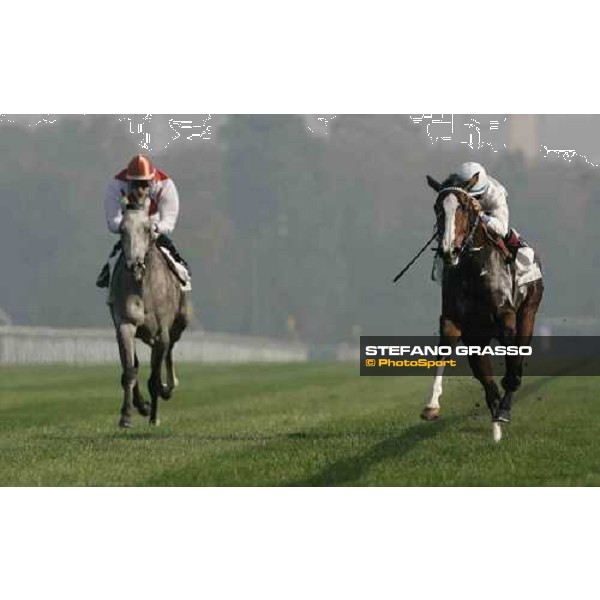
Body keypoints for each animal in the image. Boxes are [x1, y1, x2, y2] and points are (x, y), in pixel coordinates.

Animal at [110, 191, 189, 426]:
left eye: (146, 229)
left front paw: (154, 415)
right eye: (122, 229)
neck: (143, 289)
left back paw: (168, 387)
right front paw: (127, 414)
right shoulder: (125, 325)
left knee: (169, 352)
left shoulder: (161, 332)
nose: (134, 265)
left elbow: (154, 377)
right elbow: (129, 370)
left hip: (179, 324)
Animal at [422, 172, 544, 440]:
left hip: (529, 310)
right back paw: (495, 425)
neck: (472, 269)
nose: (449, 250)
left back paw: (503, 409)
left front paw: (509, 392)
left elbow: (513, 359)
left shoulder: (505, 314)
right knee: (487, 381)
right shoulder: (454, 321)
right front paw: (431, 406)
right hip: (477, 338)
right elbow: (444, 352)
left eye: (465, 207)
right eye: (437, 207)